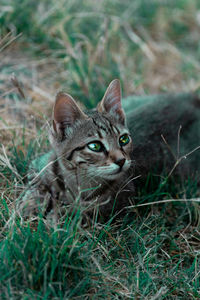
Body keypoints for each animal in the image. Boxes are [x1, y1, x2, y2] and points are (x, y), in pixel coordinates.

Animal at [20, 79, 135, 219]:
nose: (121, 161)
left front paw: (58, 215)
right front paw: (29, 207)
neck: (79, 182)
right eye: (95, 146)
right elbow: (36, 185)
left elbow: (86, 212)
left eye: (124, 139)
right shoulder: (38, 164)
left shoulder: (122, 199)